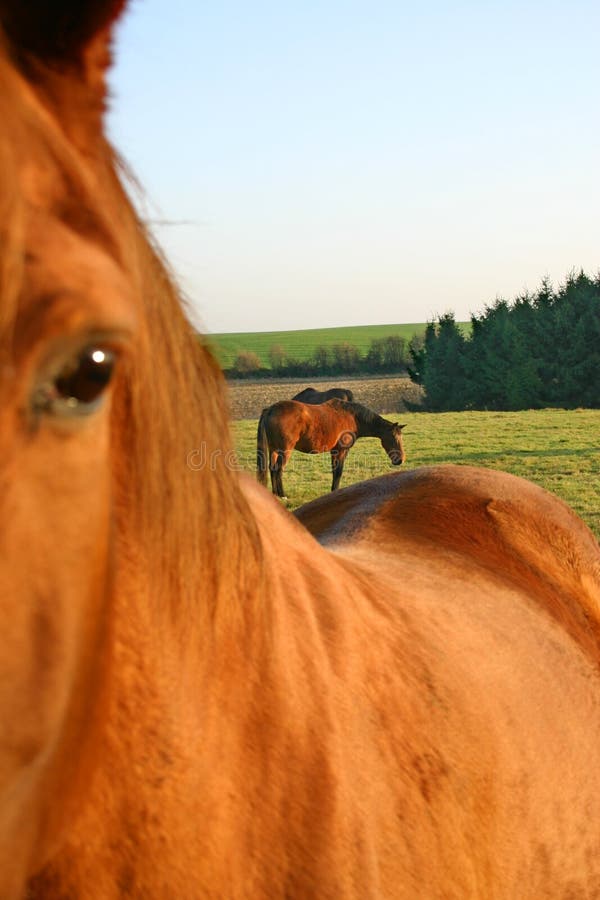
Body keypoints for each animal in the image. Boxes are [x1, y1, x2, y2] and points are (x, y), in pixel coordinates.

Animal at [255, 400, 406, 500]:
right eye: (394, 437)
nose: (400, 460)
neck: (352, 417)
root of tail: (271, 409)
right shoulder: (341, 450)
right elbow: (338, 472)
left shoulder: (334, 451)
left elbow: (335, 471)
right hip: (285, 450)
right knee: (278, 470)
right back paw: (282, 495)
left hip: (274, 450)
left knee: (272, 469)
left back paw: (274, 495)